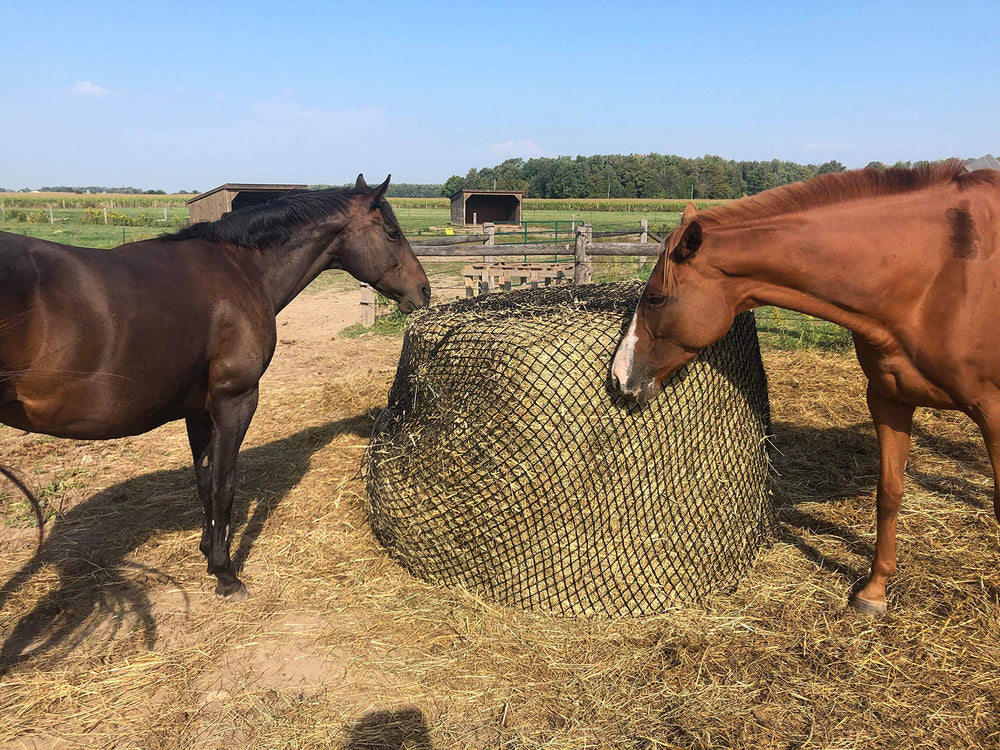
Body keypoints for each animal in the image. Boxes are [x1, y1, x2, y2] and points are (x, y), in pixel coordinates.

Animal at [0, 174, 430, 599]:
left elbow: (204, 479)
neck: (241, 269)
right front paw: (225, 573)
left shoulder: (199, 410)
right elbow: (225, 483)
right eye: (392, 233)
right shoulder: (234, 400)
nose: (424, 291)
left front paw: (208, 550)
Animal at [611, 161, 1000, 615]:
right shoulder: (889, 399)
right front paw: (874, 590)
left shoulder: (993, 413)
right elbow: (889, 493)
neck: (938, 273)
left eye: (656, 297)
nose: (619, 377)